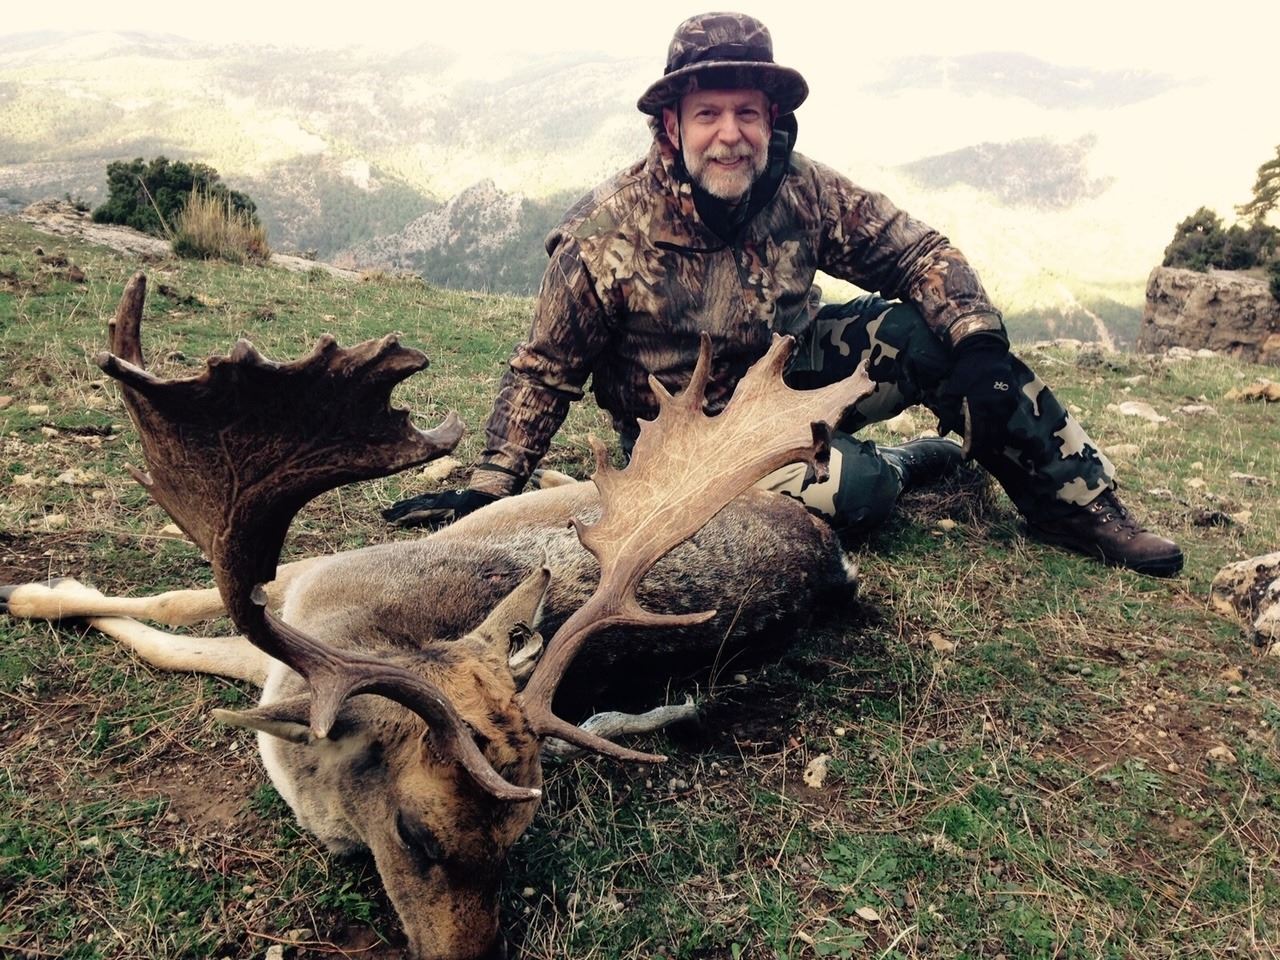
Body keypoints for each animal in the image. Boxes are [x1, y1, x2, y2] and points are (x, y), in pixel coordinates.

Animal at [1, 273, 873, 960]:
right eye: (416, 835)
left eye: (515, 841)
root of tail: (835, 561)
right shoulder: (311, 587)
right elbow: (171, 609)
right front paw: (33, 593)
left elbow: (168, 629)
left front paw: (30, 594)